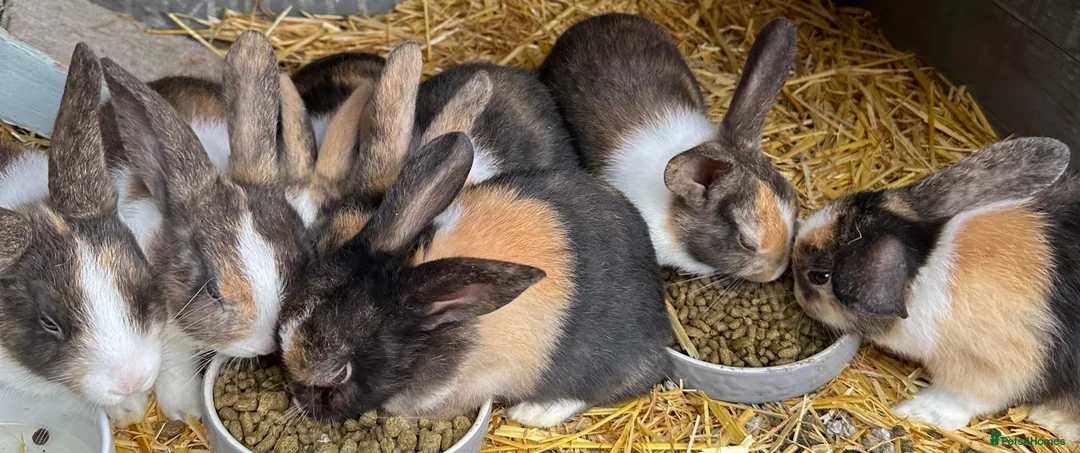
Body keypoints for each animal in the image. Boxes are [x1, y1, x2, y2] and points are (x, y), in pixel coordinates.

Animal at [790, 137, 1080, 440]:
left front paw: (911, 411)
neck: (923, 268)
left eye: (819, 276)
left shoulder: (991, 371)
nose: (794, 287)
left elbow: (959, 399)